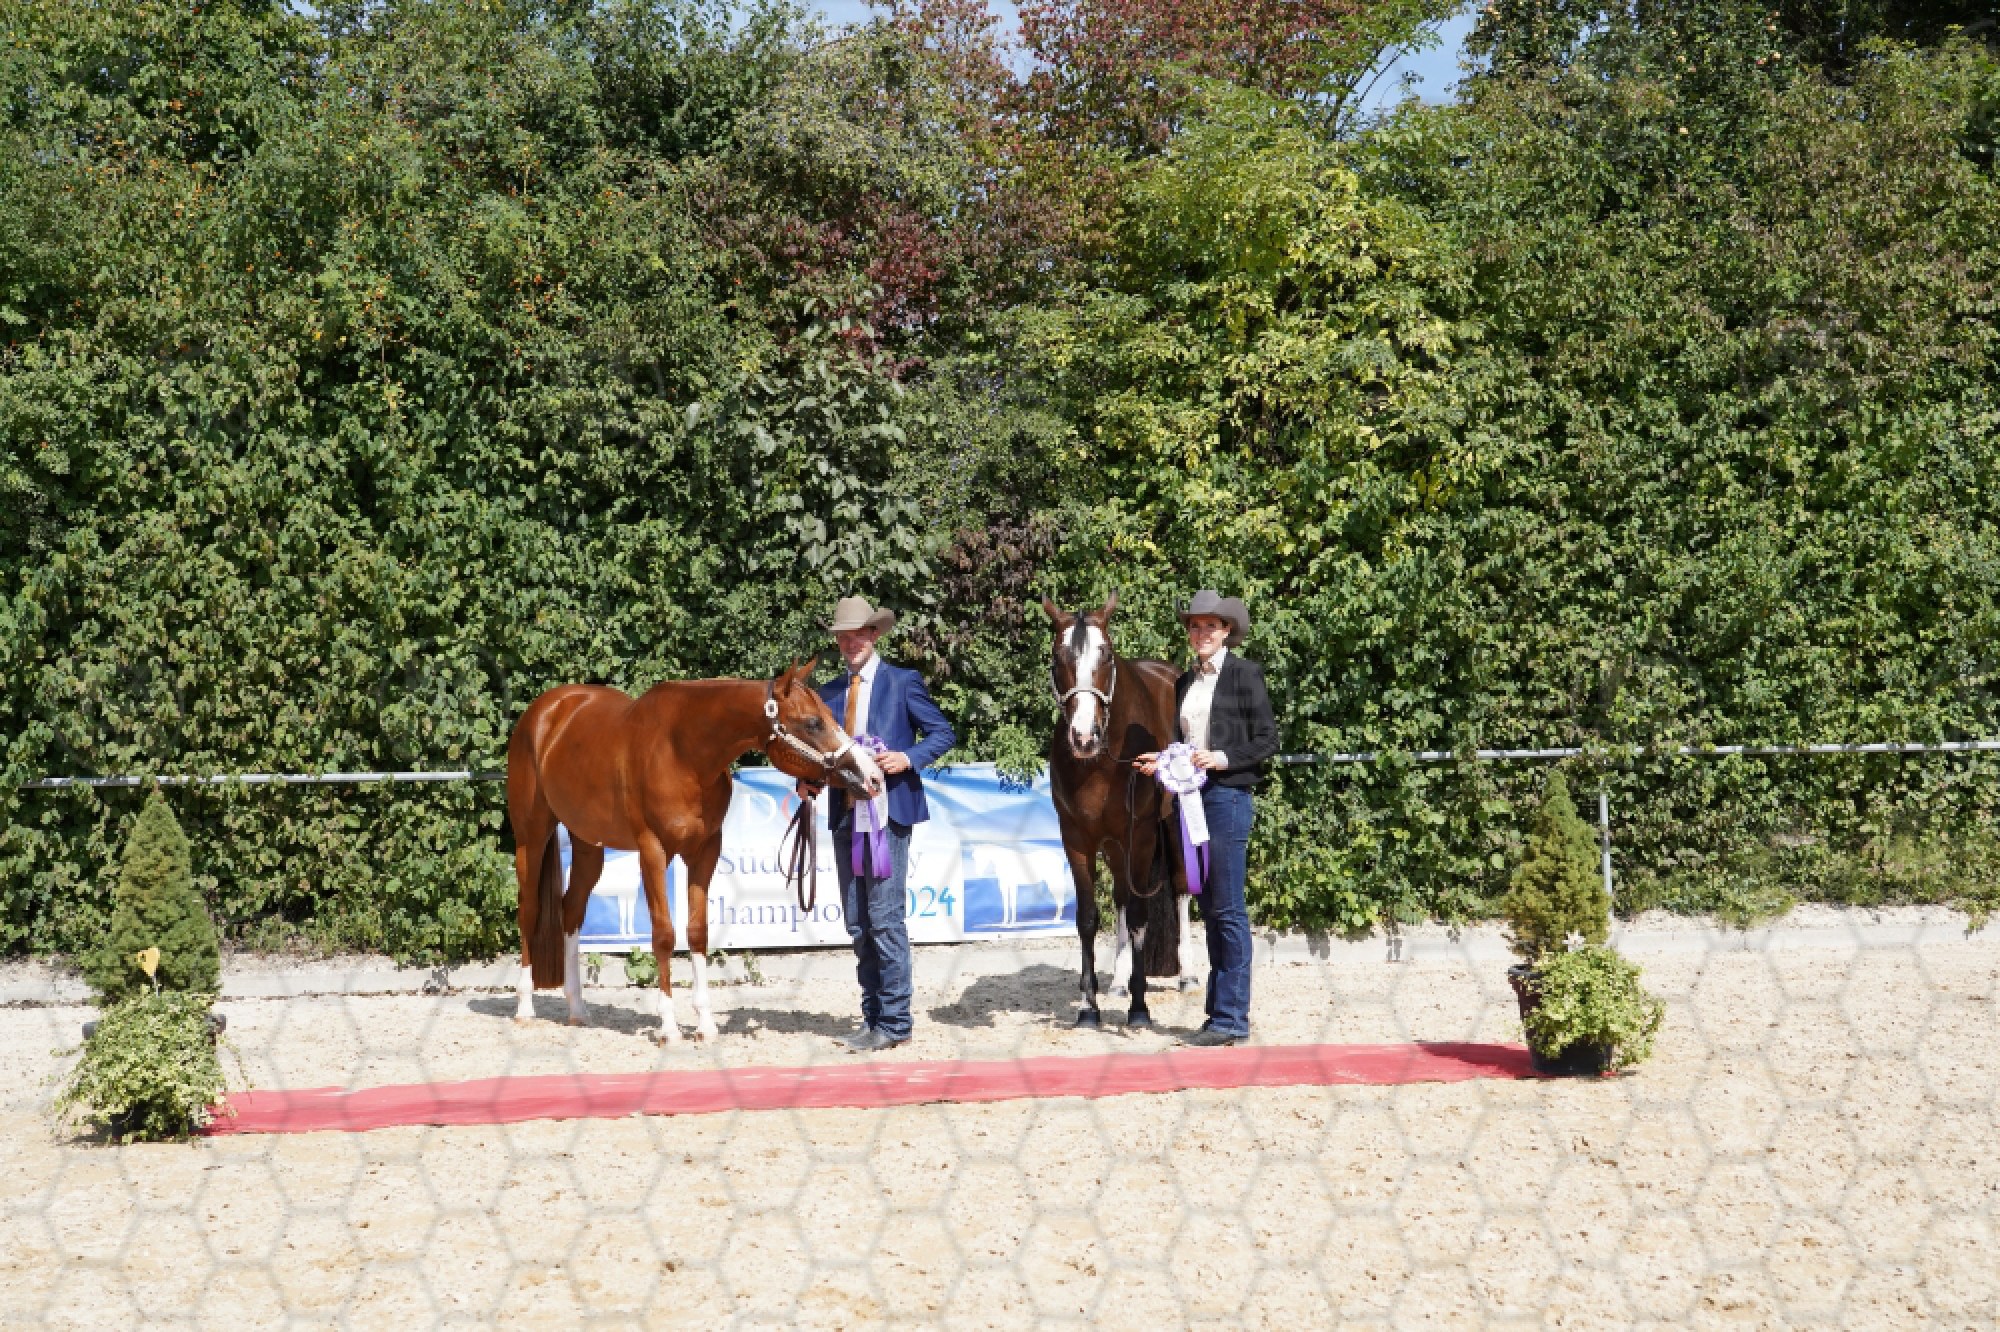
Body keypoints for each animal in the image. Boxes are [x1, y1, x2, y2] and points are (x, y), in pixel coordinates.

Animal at [506, 660, 882, 1044]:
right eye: (813, 722)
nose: (872, 777)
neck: (682, 752)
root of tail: (546, 710)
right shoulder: (653, 851)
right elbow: (664, 935)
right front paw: (669, 1027)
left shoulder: (705, 851)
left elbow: (698, 933)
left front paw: (705, 1025)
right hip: (531, 837)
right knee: (530, 911)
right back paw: (525, 1007)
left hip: (587, 845)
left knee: (572, 909)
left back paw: (578, 1009)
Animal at [1044, 593, 1197, 1029]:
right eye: (1056, 658)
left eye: (1107, 654)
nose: (1084, 737)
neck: (1103, 763)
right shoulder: (1076, 839)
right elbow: (1089, 918)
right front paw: (1088, 1007)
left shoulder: (1142, 837)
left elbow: (1143, 914)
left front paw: (1140, 1006)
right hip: (1114, 844)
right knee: (1123, 899)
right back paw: (1118, 980)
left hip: (1173, 825)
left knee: (1180, 888)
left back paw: (1187, 975)